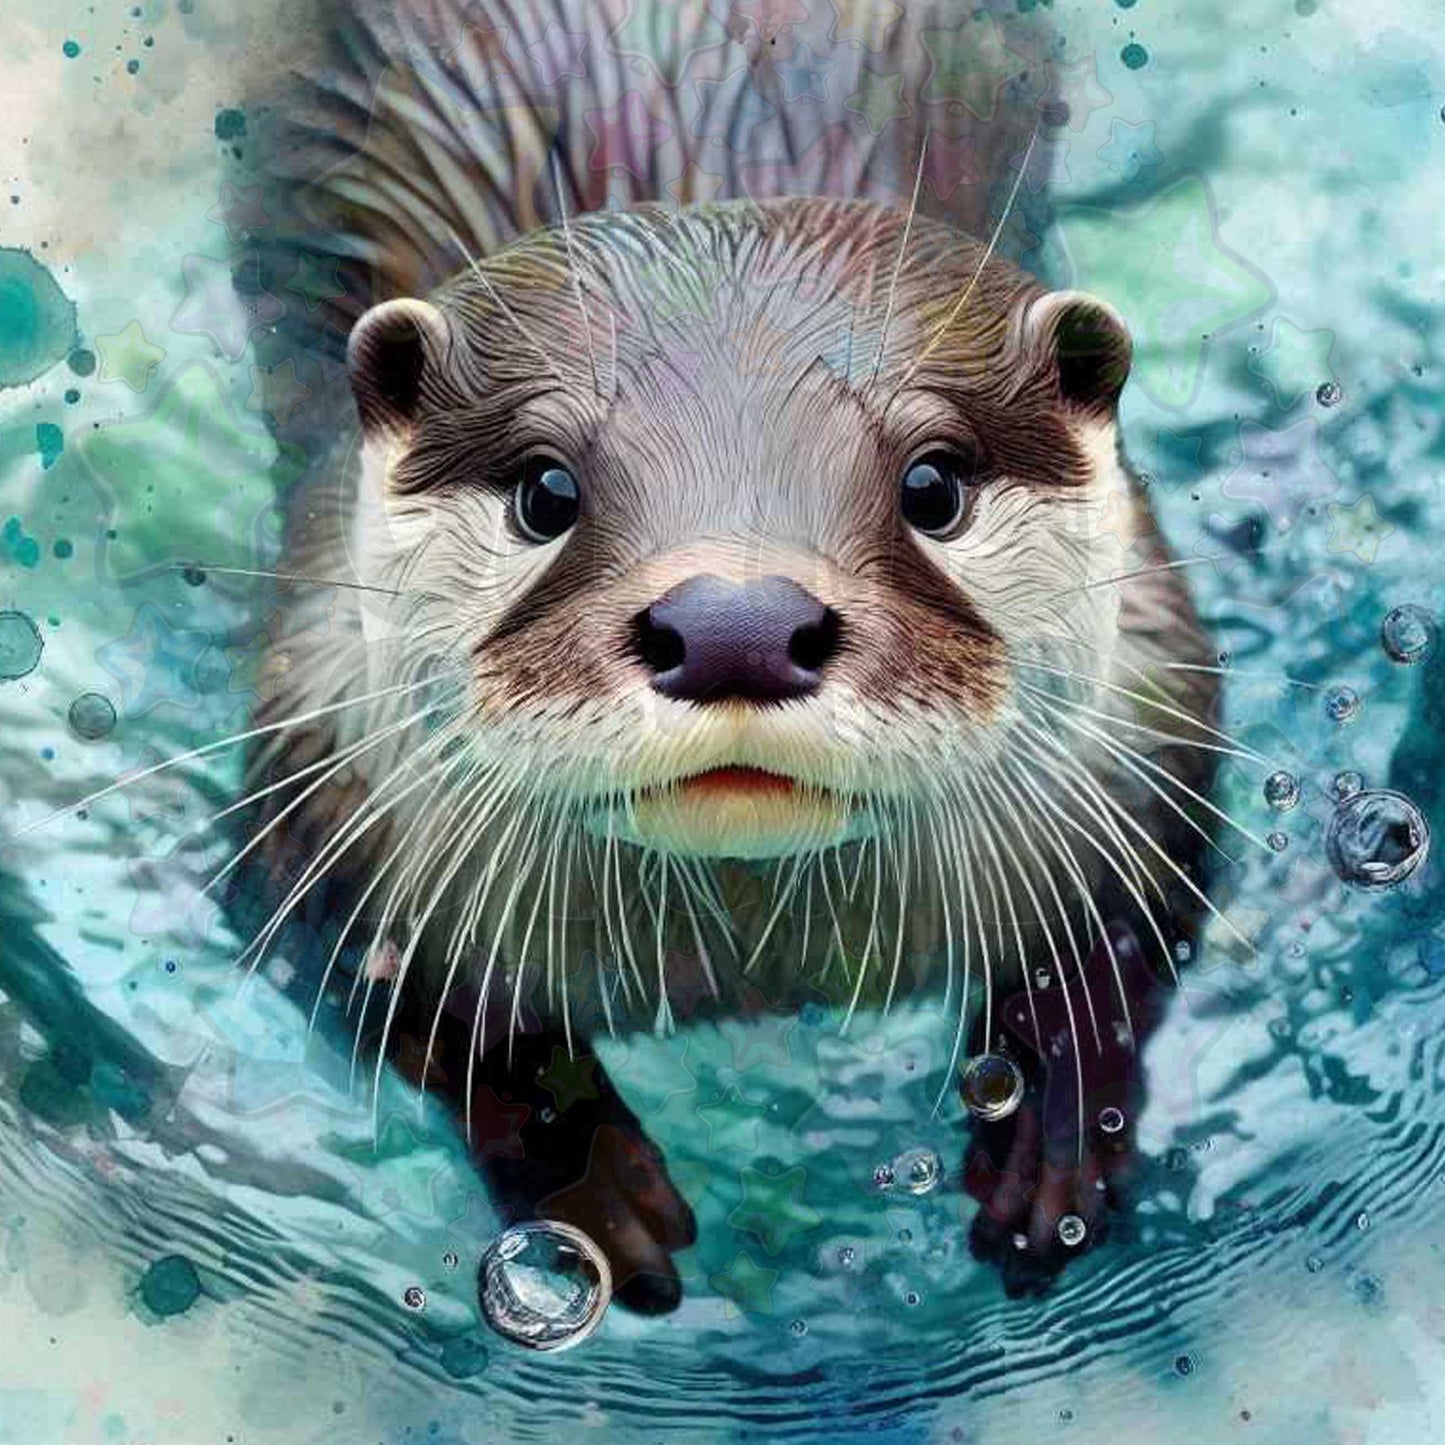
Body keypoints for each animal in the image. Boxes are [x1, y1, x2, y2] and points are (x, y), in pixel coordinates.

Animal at [236, 0, 1223, 1311]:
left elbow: (1125, 938)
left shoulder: (1149, 732)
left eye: (932, 484)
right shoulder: (318, 794)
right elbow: (417, 1010)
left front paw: (1047, 1146)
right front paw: (587, 1187)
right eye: (546, 490)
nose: (735, 626)